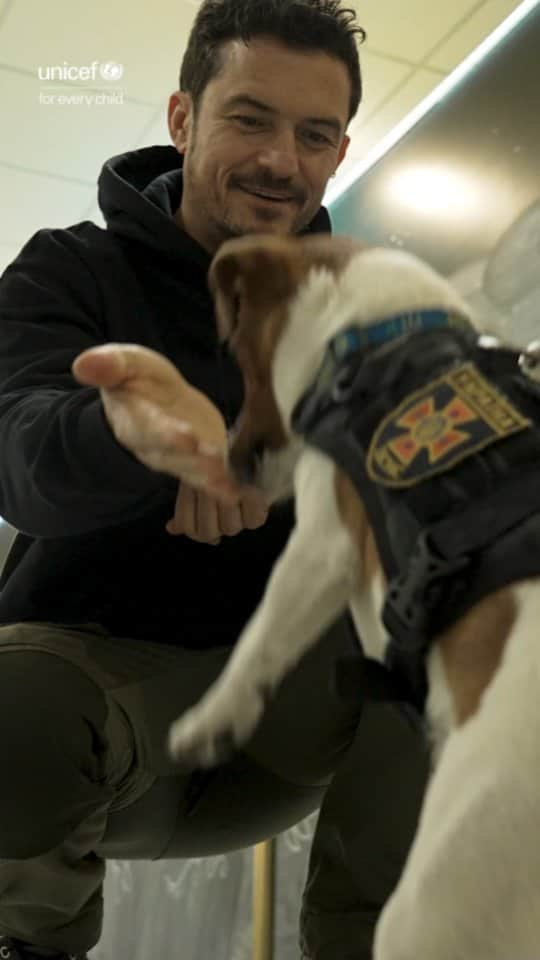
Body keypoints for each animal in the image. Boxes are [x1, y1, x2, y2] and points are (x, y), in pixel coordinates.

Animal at [168, 234, 540, 960]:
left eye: (239, 353)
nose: (234, 464)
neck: (379, 338)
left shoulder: (320, 546)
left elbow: (258, 642)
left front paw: (207, 722)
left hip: (435, 909)